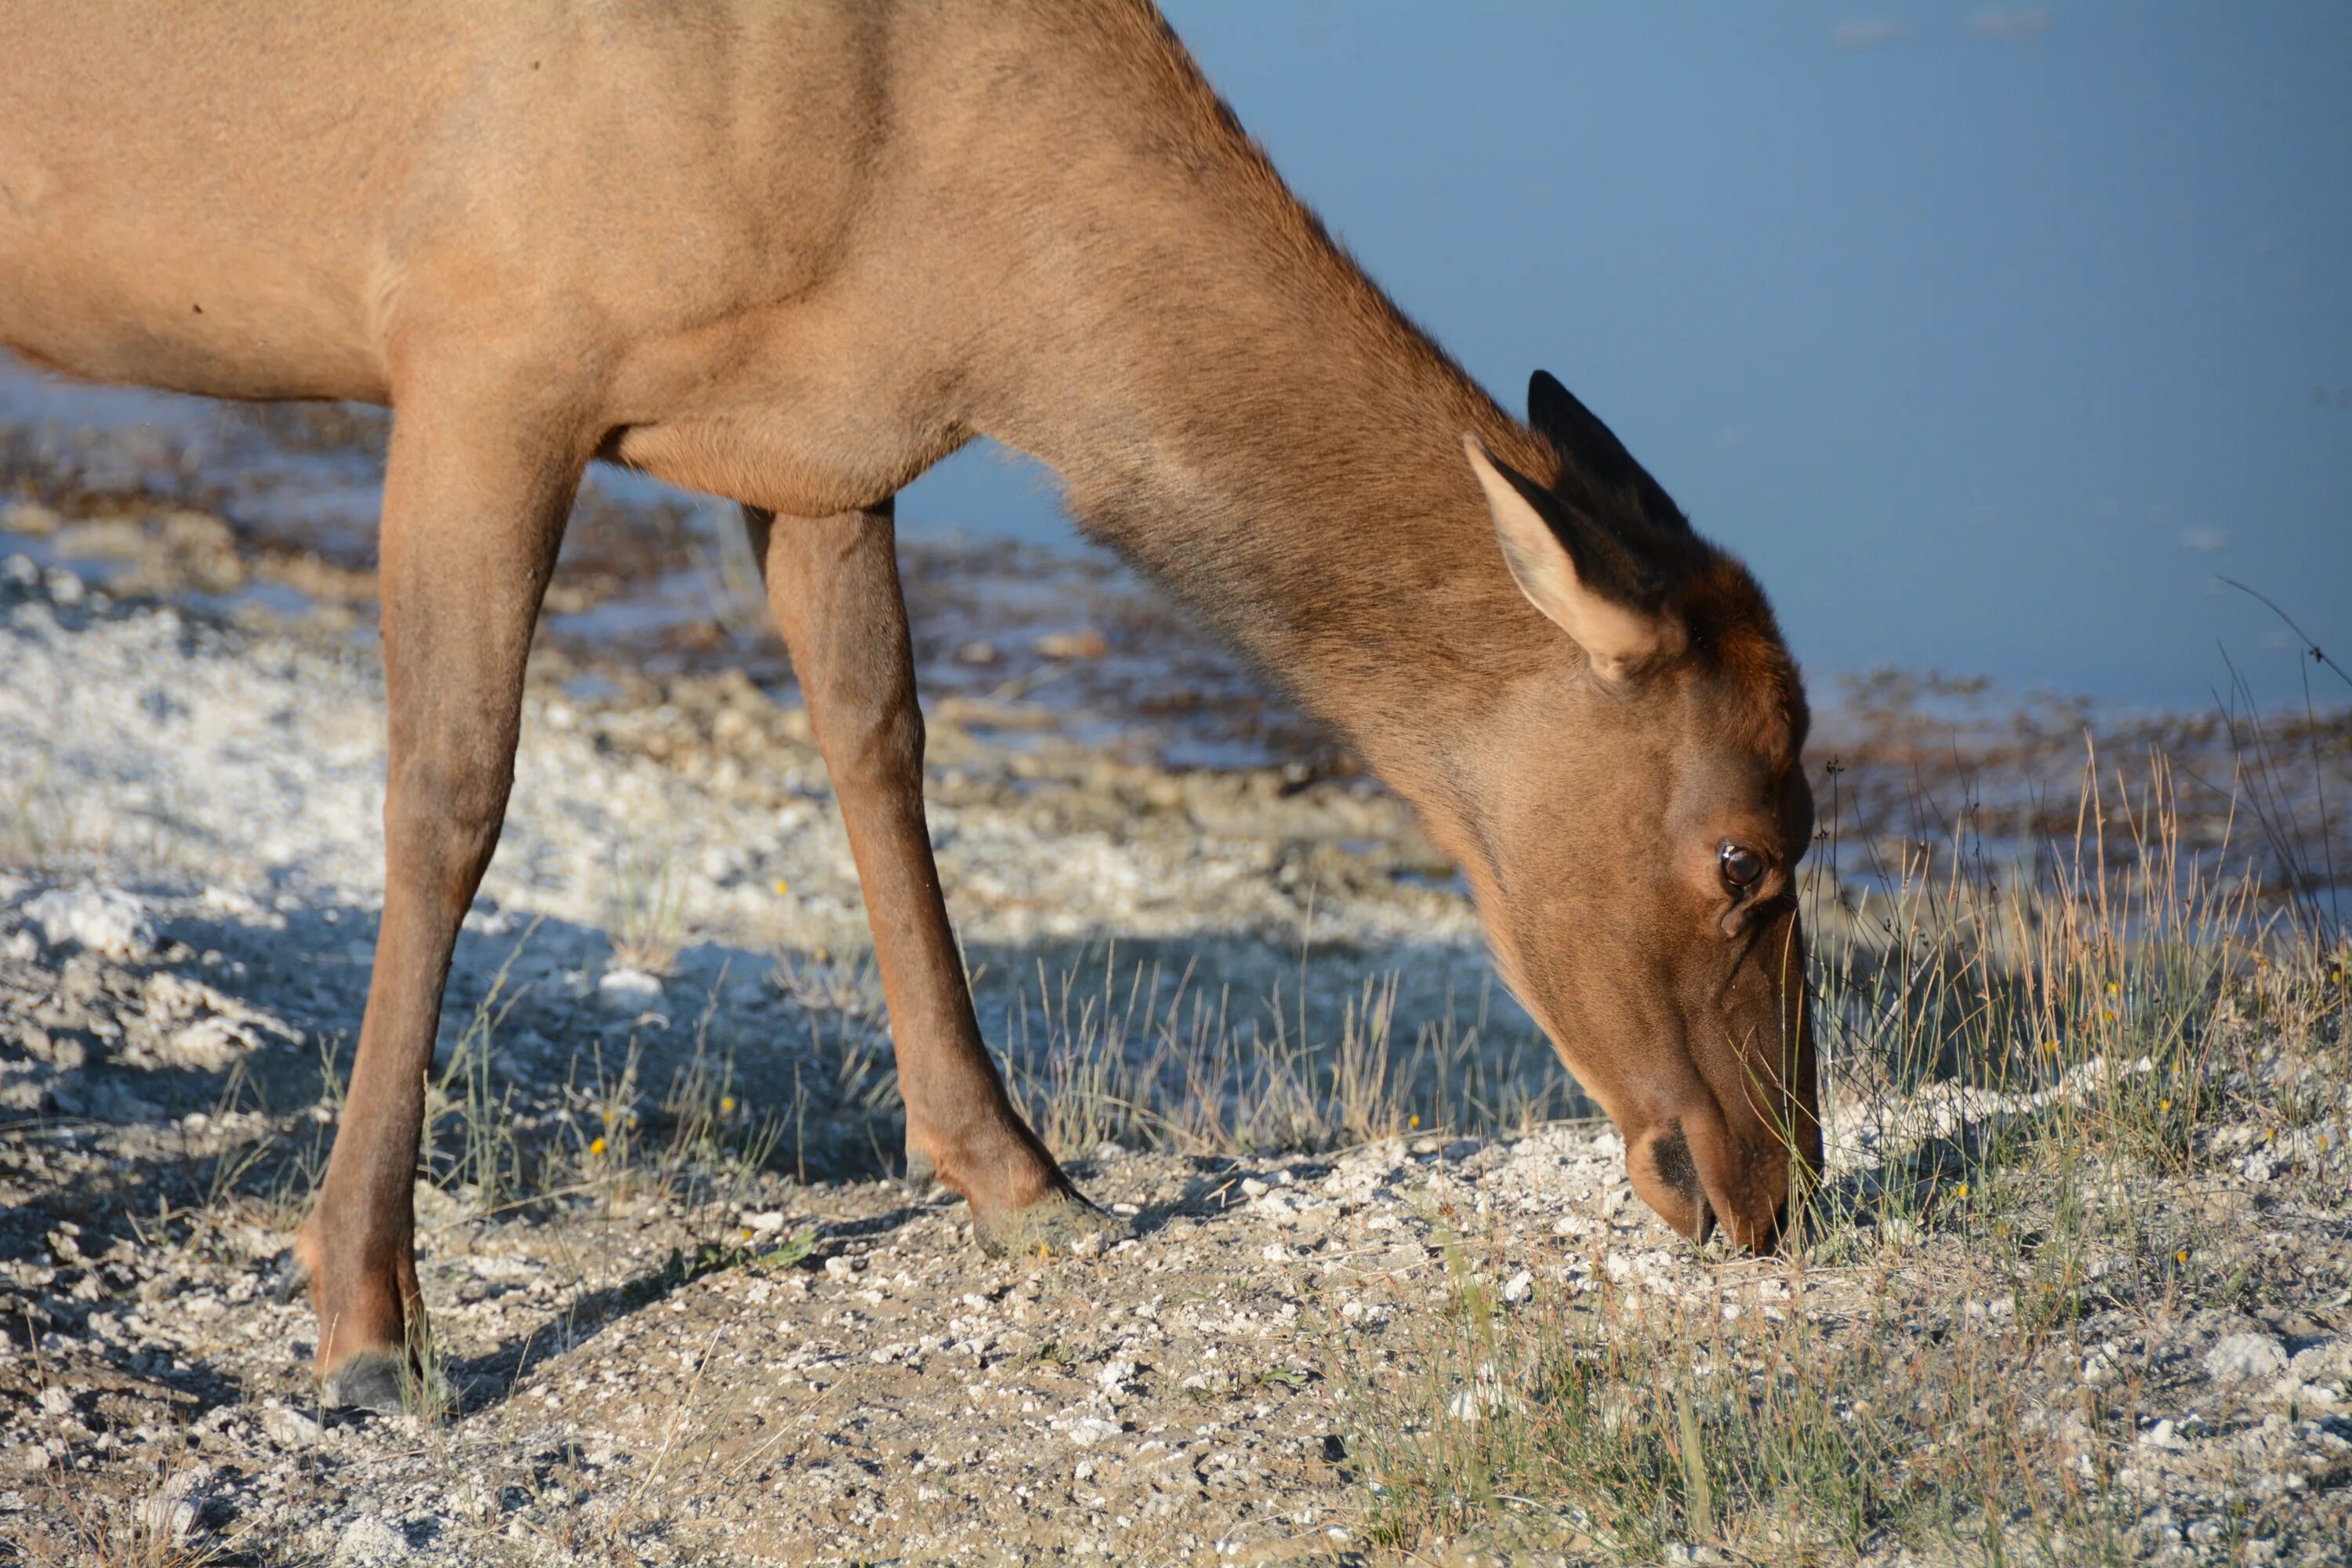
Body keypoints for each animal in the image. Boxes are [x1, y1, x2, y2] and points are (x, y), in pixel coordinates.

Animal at [4, 0, 1816, 1401]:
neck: (963, 271)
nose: (1773, 1187)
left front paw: (1025, 1177)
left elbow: (879, 742)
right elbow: (451, 795)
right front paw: (368, 1322)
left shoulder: (812, 439)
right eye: (1746, 854)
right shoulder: (481, 334)